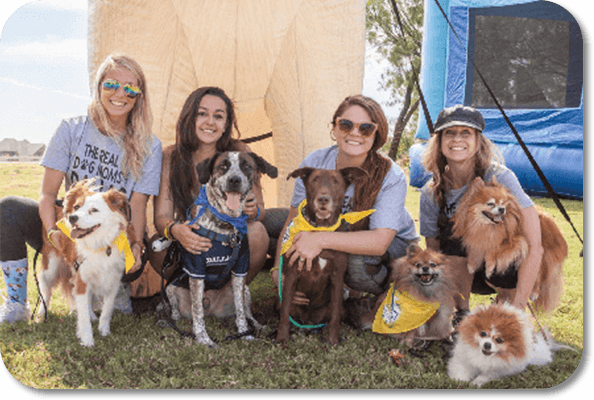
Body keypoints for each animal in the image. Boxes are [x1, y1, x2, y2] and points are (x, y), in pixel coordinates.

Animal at [39, 181, 136, 346]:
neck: (99, 245)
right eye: (77, 207)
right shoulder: (81, 277)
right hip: (51, 266)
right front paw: (87, 339)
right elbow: (83, 314)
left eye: (94, 210)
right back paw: (41, 312)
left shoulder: (112, 281)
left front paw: (104, 331)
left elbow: (107, 310)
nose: (72, 217)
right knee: (45, 288)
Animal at [164, 152, 278, 348]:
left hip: (245, 290)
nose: (234, 180)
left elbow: (241, 312)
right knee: (180, 309)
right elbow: (197, 313)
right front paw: (204, 340)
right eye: (222, 166)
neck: (226, 224)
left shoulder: (240, 271)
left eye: (246, 166)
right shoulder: (196, 270)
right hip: (170, 288)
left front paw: (244, 334)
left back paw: (257, 326)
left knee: (247, 312)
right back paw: (176, 318)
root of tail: (212, 310)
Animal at [276, 166, 366, 344]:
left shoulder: (337, 278)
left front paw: (332, 340)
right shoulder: (291, 275)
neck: (321, 230)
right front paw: (282, 338)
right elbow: (284, 314)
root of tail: (310, 321)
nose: (323, 199)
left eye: (336, 181)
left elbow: (335, 316)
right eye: (314, 180)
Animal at [450, 177, 568, 312]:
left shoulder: (518, 242)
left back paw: (534, 293)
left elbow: (493, 251)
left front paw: (489, 267)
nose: (502, 209)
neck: (488, 227)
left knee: (538, 274)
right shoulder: (479, 238)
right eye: (490, 204)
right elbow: (478, 250)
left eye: (503, 203)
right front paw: (472, 264)